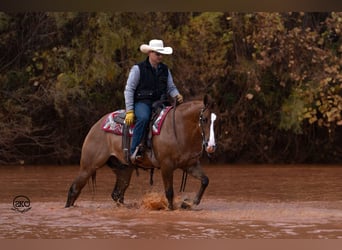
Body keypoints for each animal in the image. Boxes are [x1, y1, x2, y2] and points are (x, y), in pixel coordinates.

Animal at [65, 94, 216, 210]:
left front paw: (191, 203)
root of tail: (95, 126)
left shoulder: (189, 164)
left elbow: (205, 180)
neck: (178, 128)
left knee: (117, 194)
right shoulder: (166, 166)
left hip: (124, 170)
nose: (211, 146)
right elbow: (169, 193)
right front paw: (173, 208)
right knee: (74, 189)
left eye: (216, 120)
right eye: (204, 119)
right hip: (88, 166)